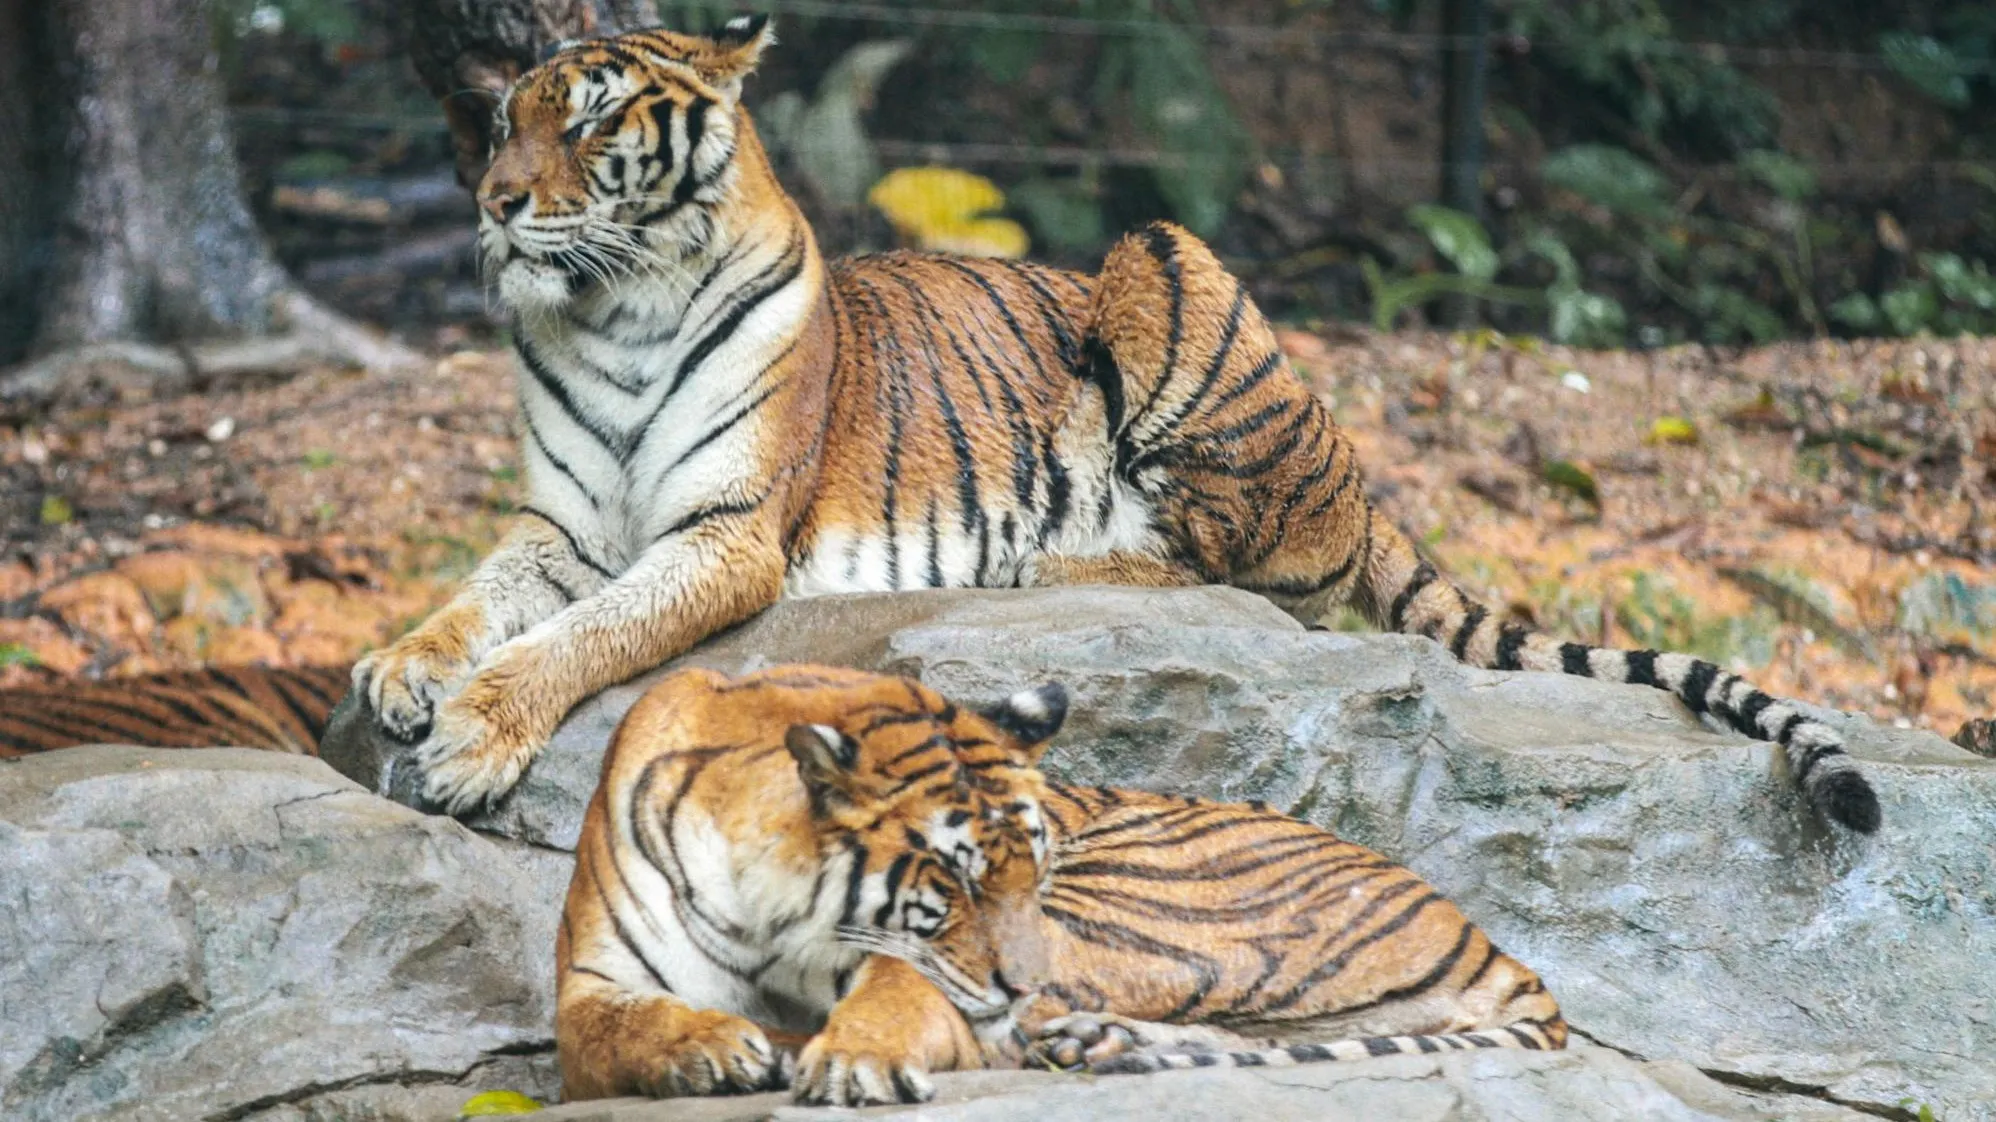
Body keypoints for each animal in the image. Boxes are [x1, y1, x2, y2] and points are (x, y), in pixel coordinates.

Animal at [558, 662, 1556, 1102]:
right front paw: (708, 1047)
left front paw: (850, 1059)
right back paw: (1095, 1043)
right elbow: (616, 1029)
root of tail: (1496, 948)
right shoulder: (591, 984)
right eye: (957, 885)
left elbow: (897, 1000)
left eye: (1029, 871)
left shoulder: (919, 966)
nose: (1023, 985)